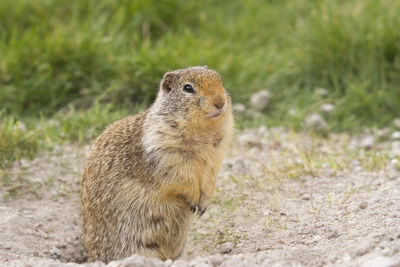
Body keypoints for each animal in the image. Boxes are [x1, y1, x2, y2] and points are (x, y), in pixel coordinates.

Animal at [80, 66, 233, 262]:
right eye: (188, 88)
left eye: (219, 79)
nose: (220, 102)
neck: (203, 132)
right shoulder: (164, 154)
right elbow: (182, 178)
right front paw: (193, 199)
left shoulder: (215, 157)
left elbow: (209, 180)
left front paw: (203, 204)